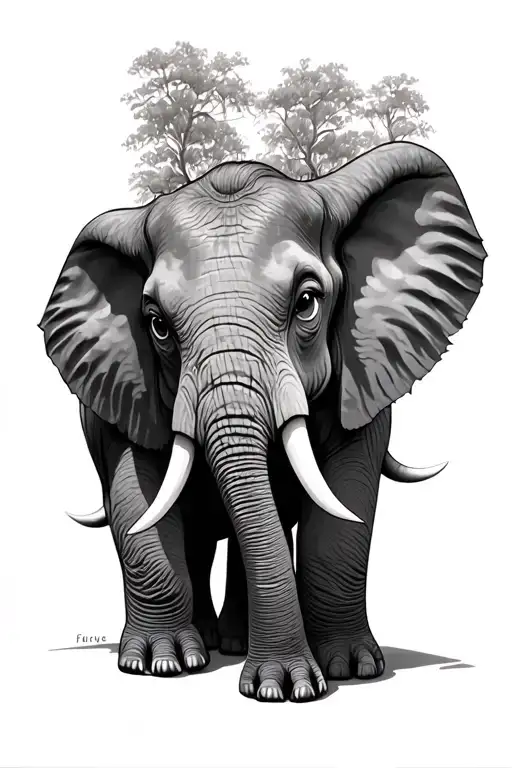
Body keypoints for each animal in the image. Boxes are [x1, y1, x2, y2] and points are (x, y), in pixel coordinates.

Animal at [40, 141, 486, 702]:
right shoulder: (121, 384)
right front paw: (158, 666)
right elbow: (137, 495)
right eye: (157, 325)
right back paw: (200, 652)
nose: (283, 687)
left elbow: (345, 501)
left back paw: (230, 645)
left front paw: (344, 672)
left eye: (308, 302)